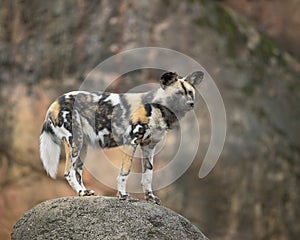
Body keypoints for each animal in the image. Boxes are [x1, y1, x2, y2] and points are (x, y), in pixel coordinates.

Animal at [39, 70, 204, 203]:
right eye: (178, 93)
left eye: (190, 92)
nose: (191, 103)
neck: (157, 109)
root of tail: (54, 103)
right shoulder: (131, 142)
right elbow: (125, 172)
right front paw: (123, 195)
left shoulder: (149, 147)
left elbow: (148, 175)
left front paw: (150, 197)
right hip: (75, 142)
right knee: (68, 172)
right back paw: (81, 192)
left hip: (82, 147)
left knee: (77, 171)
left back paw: (84, 192)